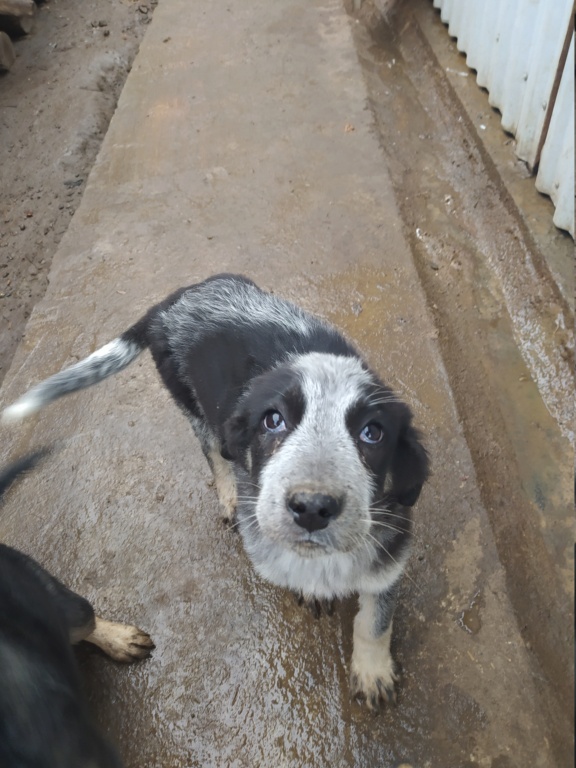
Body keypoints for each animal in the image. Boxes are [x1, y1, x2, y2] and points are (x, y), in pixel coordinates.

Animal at [3, 272, 428, 712]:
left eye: (373, 433)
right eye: (272, 420)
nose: (311, 507)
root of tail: (174, 300)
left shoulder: (389, 552)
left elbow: (375, 622)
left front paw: (373, 672)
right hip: (194, 406)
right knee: (214, 452)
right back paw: (228, 495)